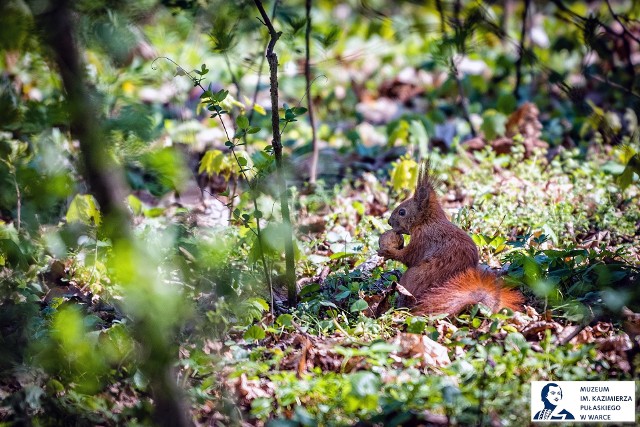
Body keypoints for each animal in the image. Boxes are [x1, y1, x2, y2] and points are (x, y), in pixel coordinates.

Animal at [378, 162, 524, 316]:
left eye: (402, 212)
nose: (389, 221)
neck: (428, 222)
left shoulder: (423, 240)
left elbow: (408, 257)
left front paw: (388, 252)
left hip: (414, 277)